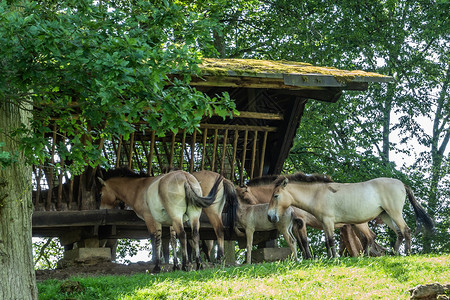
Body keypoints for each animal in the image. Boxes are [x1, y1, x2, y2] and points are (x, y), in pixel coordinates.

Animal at [268, 173, 436, 258]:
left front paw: (335, 259)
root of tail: (401, 184)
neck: (317, 194)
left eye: (276, 196)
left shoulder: (328, 222)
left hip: (394, 212)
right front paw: (330, 258)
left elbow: (330, 241)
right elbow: (327, 242)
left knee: (406, 230)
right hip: (386, 215)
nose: (270, 216)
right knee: (398, 233)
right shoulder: (324, 224)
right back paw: (391, 254)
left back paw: (407, 253)